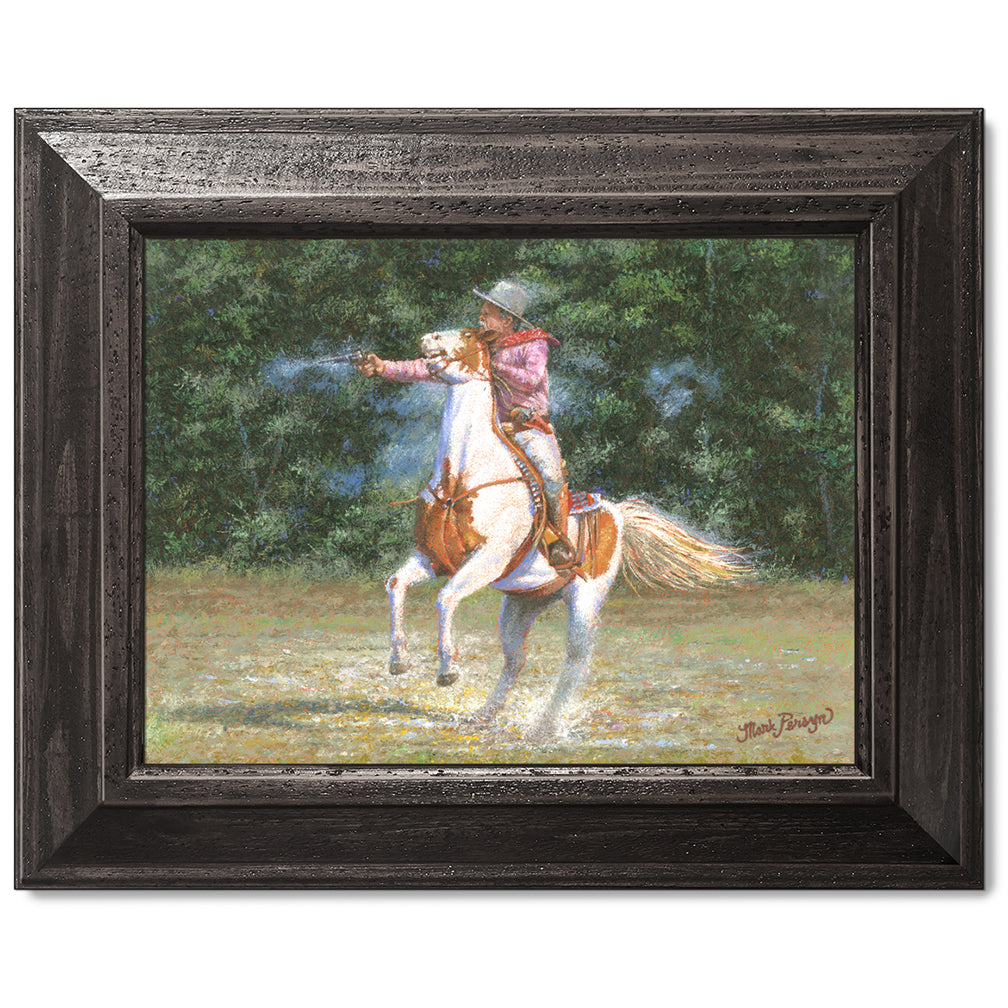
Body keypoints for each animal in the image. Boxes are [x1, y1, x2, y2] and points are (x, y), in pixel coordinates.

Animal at [381, 326, 745, 737]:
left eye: (468, 334)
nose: (428, 339)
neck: (463, 475)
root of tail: (616, 513)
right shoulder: (433, 557)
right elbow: (396, 584)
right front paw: (398, 661)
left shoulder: (488, 559)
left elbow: (445, 598)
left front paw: (447, 671)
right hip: (521, 605)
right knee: (515, 659)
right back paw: (485, 716)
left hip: (586, 602)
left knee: (575, 662)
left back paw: (544, 727)